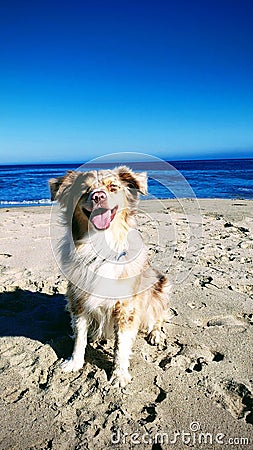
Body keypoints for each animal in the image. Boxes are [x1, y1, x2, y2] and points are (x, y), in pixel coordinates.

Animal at [49, 165, 172, 386]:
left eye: (113, 187)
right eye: (84, 189)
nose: (98, 196)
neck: (100, 247)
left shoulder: (126, 308)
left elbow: (121, 346)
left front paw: (119, 374)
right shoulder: (78, 300)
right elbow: (79, 337)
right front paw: (74, 363)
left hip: (160, 286)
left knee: (159, 316)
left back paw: (156, 334)